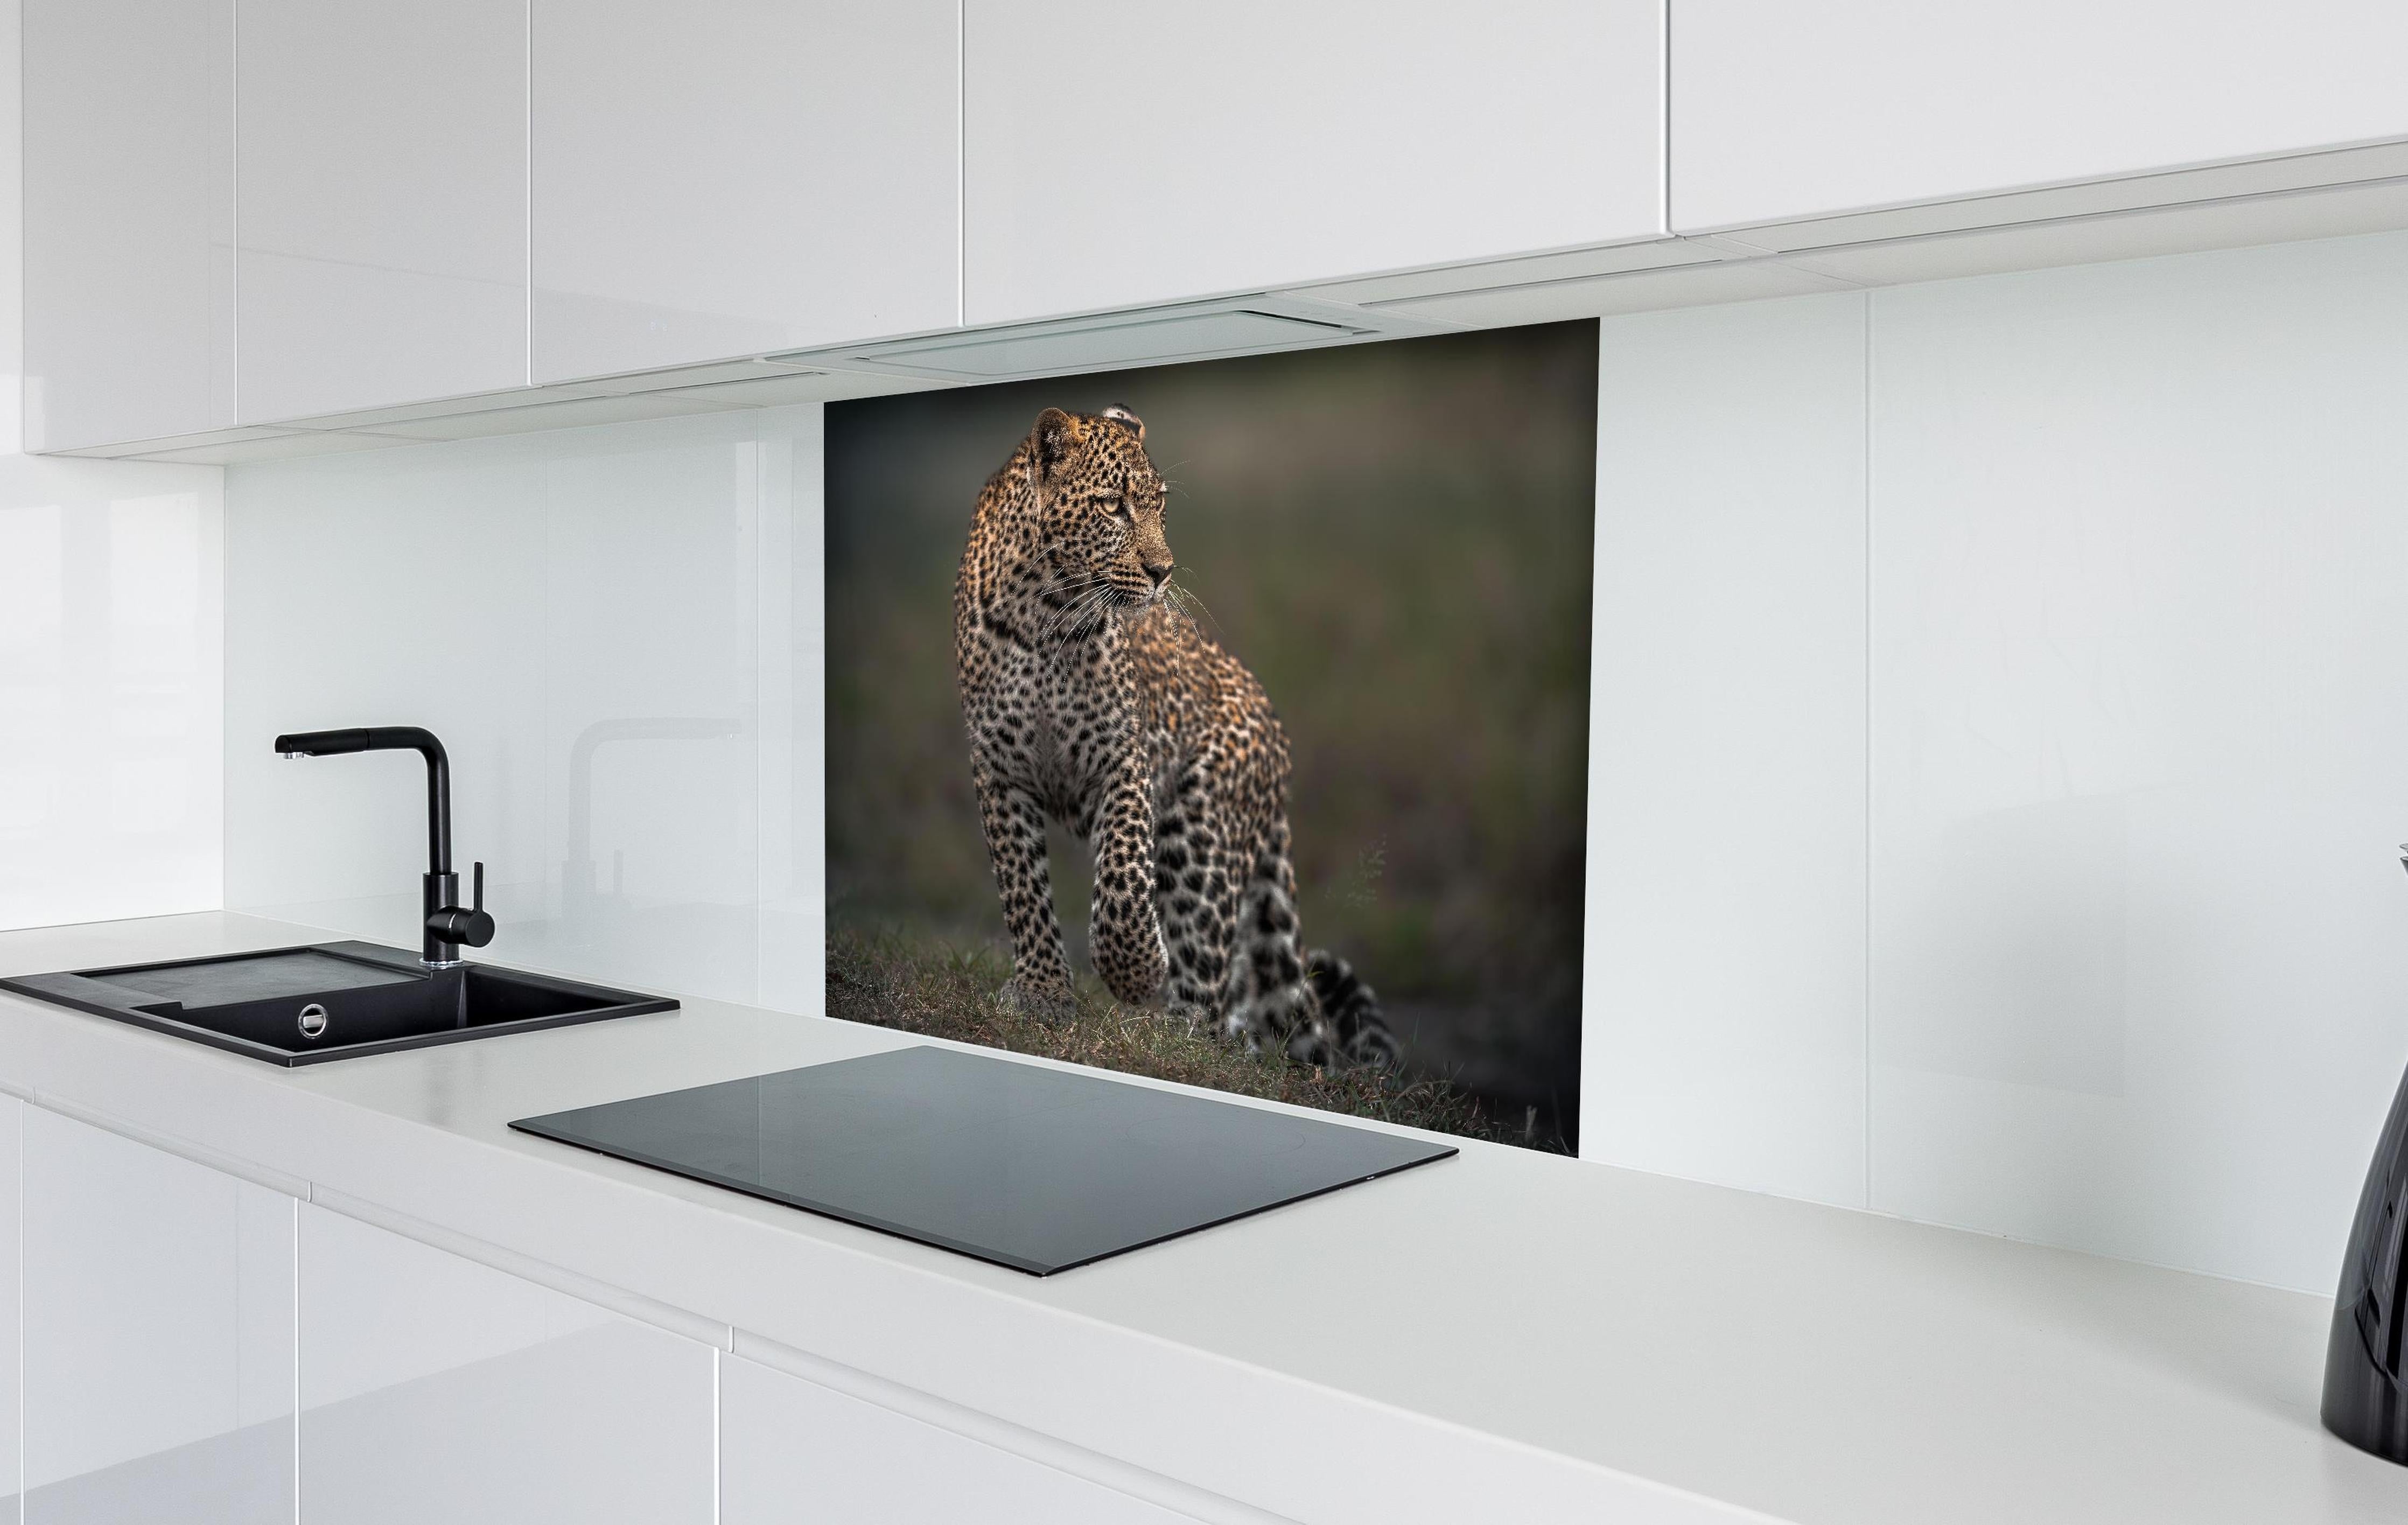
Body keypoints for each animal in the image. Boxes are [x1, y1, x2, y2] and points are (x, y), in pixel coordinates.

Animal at [952, 403, 1396, 1070]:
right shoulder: (998, 772)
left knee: (1209, 989)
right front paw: (1042, 993)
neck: (1043, 614)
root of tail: (1278, 742)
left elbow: (1122, 880)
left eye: (1158, 505)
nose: (1162, 572)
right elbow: (1022, 890)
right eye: (1113, 506)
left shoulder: (1122, 761)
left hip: (1201, 834)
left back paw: (1173, 1037)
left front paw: (1134, 971)